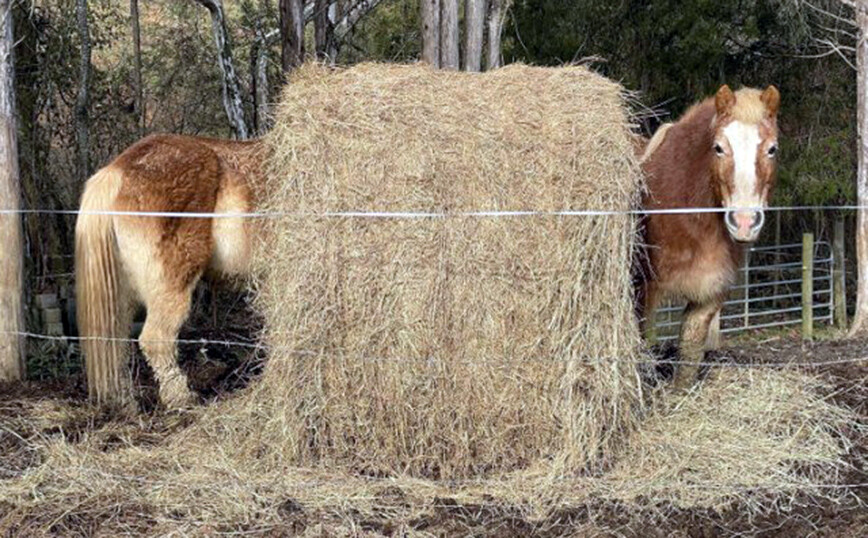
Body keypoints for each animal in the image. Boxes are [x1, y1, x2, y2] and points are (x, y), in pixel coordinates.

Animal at [74, 134, 264, 406]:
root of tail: (117, 168)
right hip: (171, 285)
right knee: (156, 339)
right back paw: (180, 397)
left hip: (120, 294)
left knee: (115, 342)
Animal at [636, 84, 780, 388]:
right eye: (719, 148)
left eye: (772, 149)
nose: (744, 222)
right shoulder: (640, 292)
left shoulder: (709, 295)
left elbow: (689, 353)